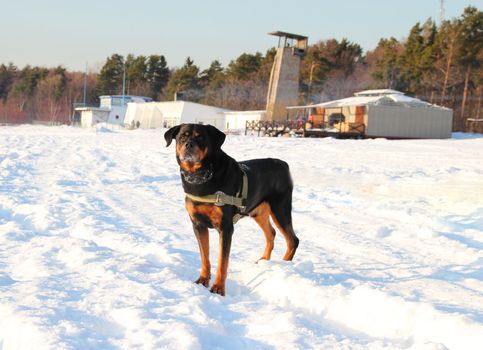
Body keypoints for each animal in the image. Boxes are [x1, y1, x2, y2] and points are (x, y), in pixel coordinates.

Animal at [165, 123, 298, 296]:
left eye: (201, 137)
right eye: (182, 137)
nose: (189, 144)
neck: (202, 176)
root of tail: (283, 164)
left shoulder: (226, 227)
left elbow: (223, 261)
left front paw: (218, 288)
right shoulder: (198, 225)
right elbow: (205, 256)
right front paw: (202, 280)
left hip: (280, 208)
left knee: (292, 239)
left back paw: (284, 266)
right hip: (259, 211)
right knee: (271, 233)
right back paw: (263, 261)